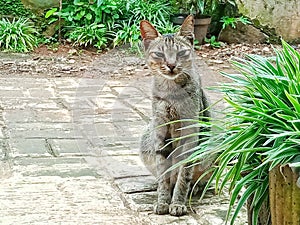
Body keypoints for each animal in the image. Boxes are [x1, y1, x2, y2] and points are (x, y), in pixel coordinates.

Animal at [139, 15, 211, 216]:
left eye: (180, 54)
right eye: (159, 54)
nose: (171, 65)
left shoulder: (190, 131)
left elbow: (183, 174)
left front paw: (177, 203)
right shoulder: (160, 129)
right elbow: (164, 173)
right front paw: (163, 201)